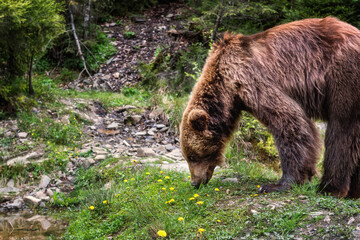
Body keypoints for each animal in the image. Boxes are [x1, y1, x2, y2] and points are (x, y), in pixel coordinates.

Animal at [180, 16, 360, 197]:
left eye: (193, 156)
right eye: (187, 156)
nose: (194, 182)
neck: (226, 88)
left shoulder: (252, 80)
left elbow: (289, 120)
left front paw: (278, 184)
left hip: (342, 72)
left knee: (342, 127)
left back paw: (329, 187)